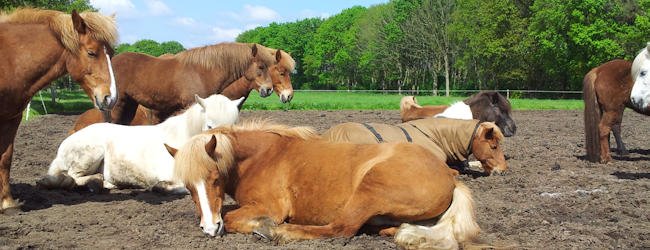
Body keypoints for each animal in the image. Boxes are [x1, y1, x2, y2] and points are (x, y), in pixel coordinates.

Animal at [0, 7, 117, 210]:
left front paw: (7, 203)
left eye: (111, 52)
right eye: (91, 53)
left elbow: (5, 157)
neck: (9, 59)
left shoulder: (11, 118)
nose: (110, 98)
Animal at [37, 94, 243, 193]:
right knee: (73, 176)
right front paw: (160, 187)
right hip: (90, 154)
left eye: (234, 125)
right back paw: (94, 183)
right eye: (209, 126)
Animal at [166, 120, 480, 249]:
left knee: (340, 228)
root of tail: (450, 178)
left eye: (215, 178)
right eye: (189, 187)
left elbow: (231, 218)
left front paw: (261, 226)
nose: (209, 229)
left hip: (369, 191)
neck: (262, 156)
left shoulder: (270, 206)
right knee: (384, 228)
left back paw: (278, 233)